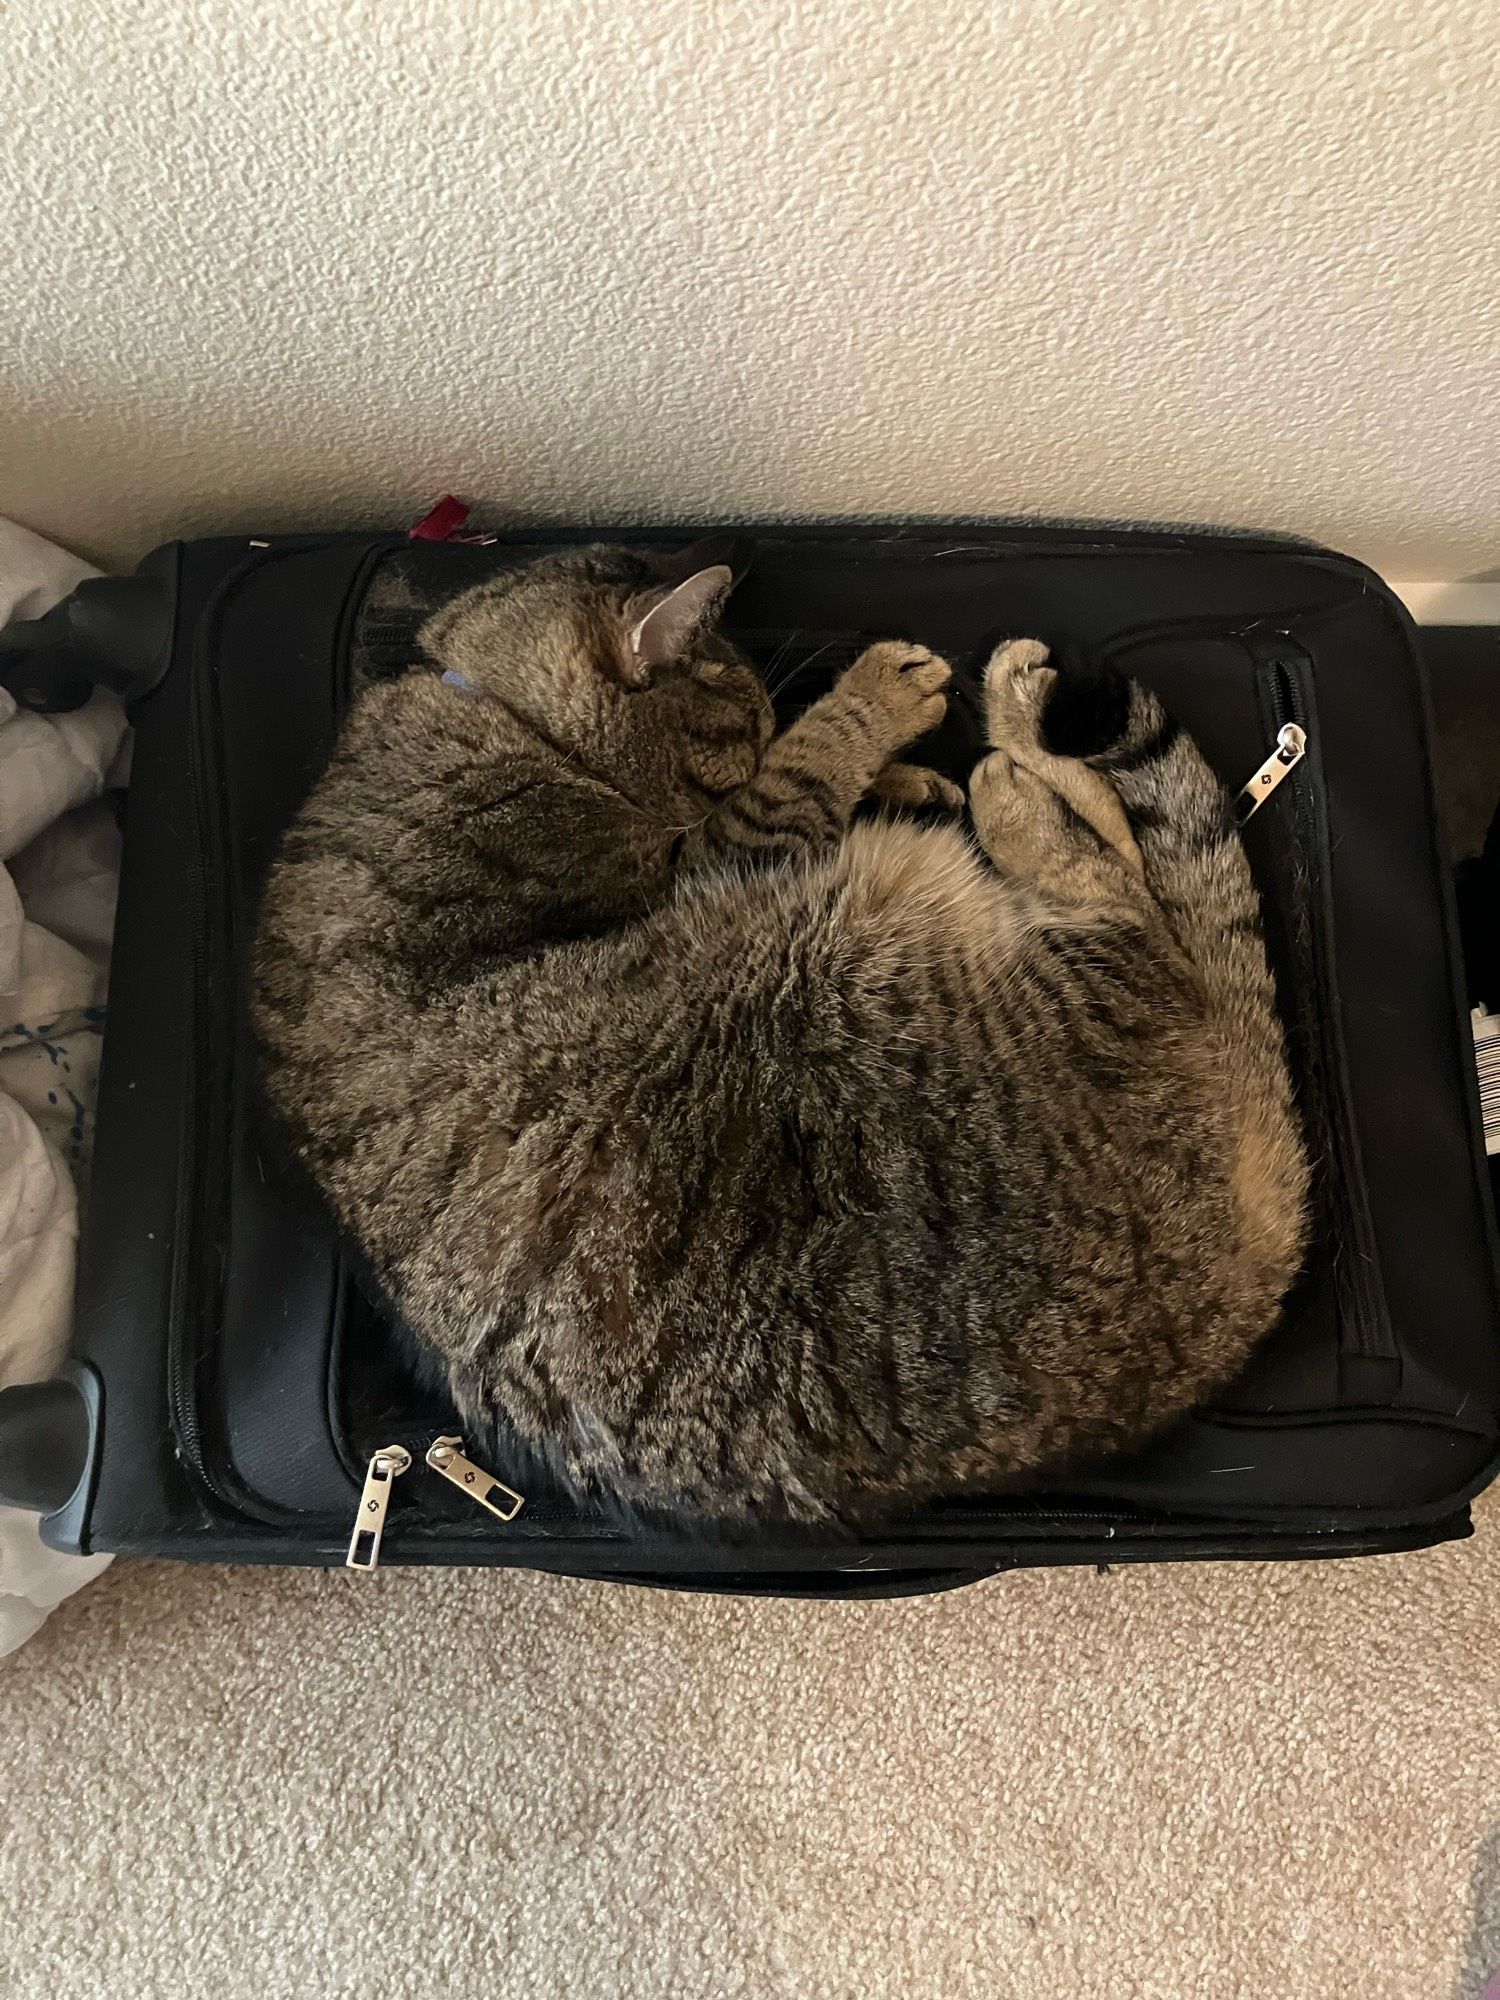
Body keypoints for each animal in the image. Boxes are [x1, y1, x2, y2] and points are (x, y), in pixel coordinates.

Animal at [253, 540, 1312, 1520]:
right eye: (749, 728)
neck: (501, 713)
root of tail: (1235, 1294)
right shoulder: (712, 857)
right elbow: (799, 775)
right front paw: (875, 717)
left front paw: (901, 773)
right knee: (1125, 898)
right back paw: (1010, 769)